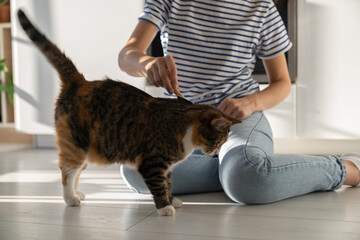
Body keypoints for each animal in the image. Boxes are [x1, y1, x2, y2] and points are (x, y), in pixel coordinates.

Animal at [18, 9, 240, 216]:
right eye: (218, 141)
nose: (216, 154)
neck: (185, 124)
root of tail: (79, 81)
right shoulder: (152, 162)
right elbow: (159, 186)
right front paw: (165, 207)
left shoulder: (166, 167)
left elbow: (168, 183)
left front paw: (172, 199)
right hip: (75, 143)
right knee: (67, 171)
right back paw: (70, 198)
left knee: (76, 171)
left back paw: (77, 193)